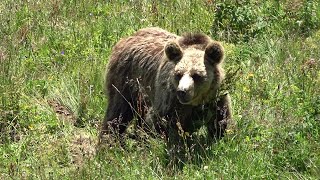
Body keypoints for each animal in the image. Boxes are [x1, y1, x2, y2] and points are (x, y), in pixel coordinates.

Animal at [101, 27, 231, 146]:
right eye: (178, 74)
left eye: (196, 75)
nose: (182, 91)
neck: (196, 102)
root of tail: (126, 38)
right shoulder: (169, 99)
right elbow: (157, 122)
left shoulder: (215, 97)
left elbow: (221, 120)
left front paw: (220, 137)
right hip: (126, 81)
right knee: (117, 112)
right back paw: (108, 140)